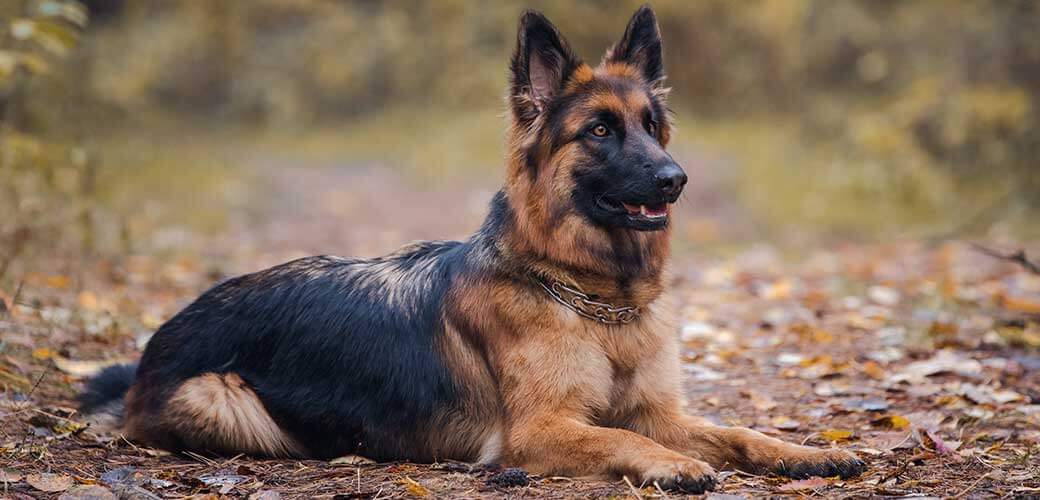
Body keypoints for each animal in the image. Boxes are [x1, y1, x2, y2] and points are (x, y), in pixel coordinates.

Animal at [79, 6, 861, 490]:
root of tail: (157, 343)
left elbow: (736, 430)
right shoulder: (543, 428)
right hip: (222, 398)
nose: (676, 179)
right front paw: (671, 467)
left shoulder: (659, 413)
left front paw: (802, 452)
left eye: (650, 125)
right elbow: (624, 441)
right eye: (599, 131)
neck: (592, 299)